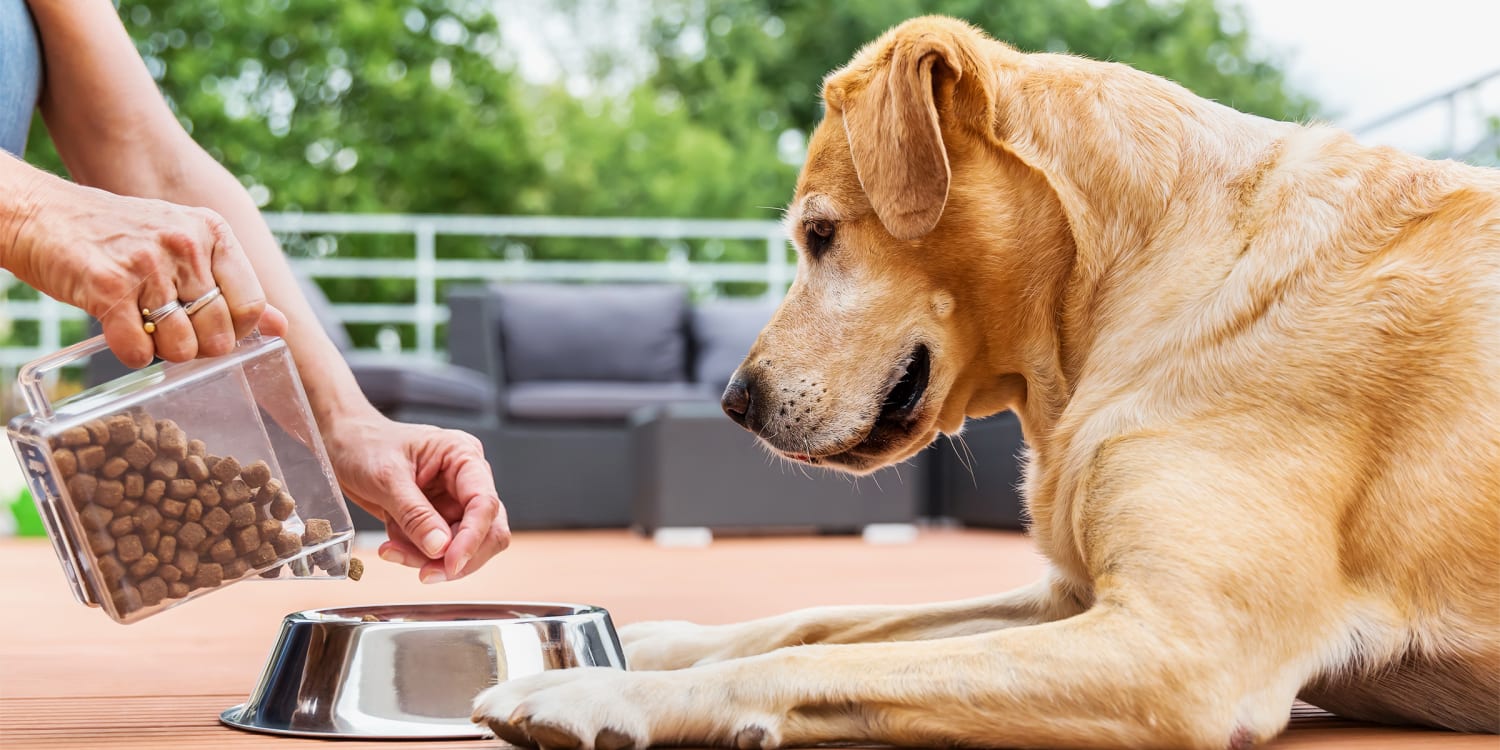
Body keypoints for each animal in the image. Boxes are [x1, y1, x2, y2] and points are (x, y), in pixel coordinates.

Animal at [471, 17, 1500, 750]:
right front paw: (650, 642)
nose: (733, 402)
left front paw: (600, 687)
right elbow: (818, 622)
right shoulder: (1069, 599)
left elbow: (810, 663)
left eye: (820, 235)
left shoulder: (1184, 646)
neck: (1131, 279)